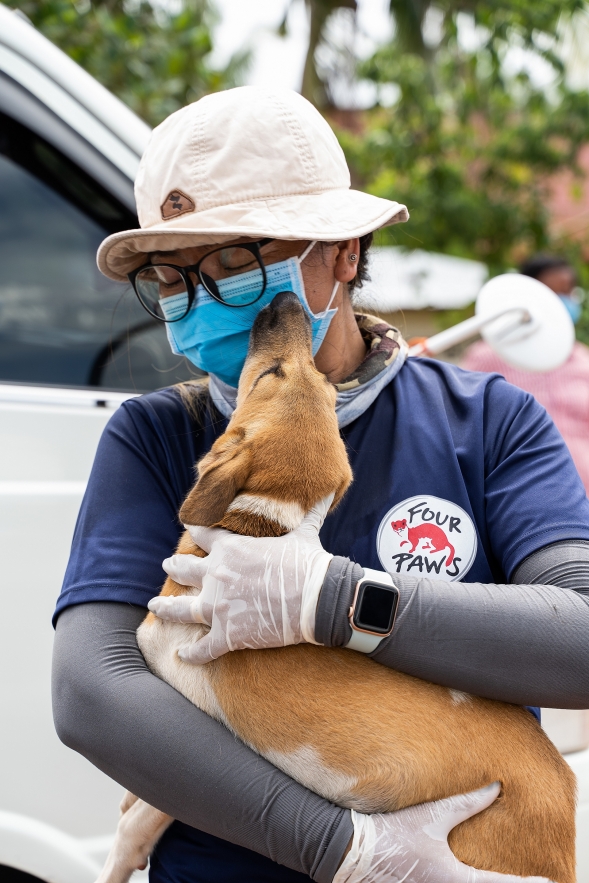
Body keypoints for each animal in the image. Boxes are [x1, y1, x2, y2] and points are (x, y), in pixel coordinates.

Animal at [95, 292, 576, 883]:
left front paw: (120, 854)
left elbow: (146, 809)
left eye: (269, 374)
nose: (285, 303)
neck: (267, 526)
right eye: (320, 387)